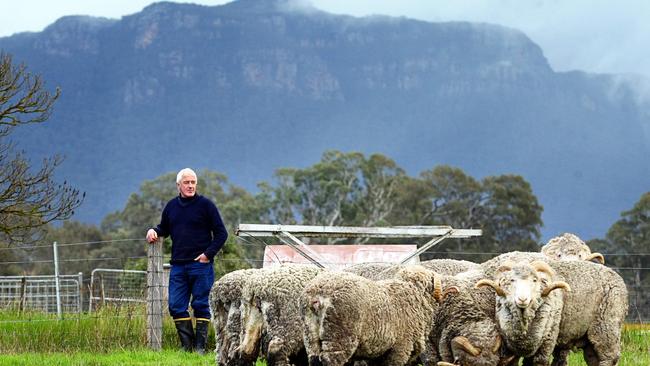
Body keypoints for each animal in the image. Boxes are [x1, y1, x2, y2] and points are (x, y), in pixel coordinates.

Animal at [298, 266, 440, 366]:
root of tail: (317, 297)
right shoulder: (401, 348)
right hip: (339, 336)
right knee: (331, 360)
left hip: (310, 335)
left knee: (314, 359)